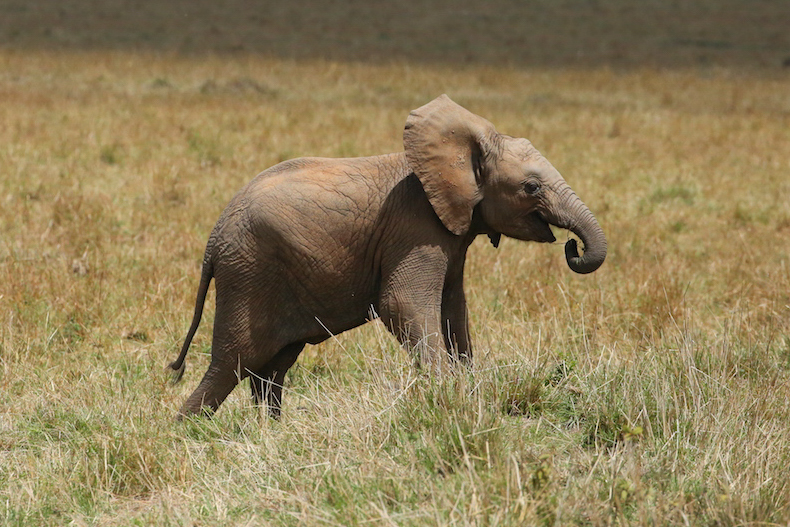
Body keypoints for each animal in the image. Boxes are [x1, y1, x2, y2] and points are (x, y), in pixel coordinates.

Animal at [167, 94, 606, 419]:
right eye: (531, 187)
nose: (572, 246)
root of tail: (213, 240)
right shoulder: (414, 229)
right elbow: (403, 303)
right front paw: (448, 400)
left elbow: (454, 310)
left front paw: (468, 389)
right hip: (249, 272)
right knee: (232, 364)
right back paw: (187, 433)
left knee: (271, 368)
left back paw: (270, 433)